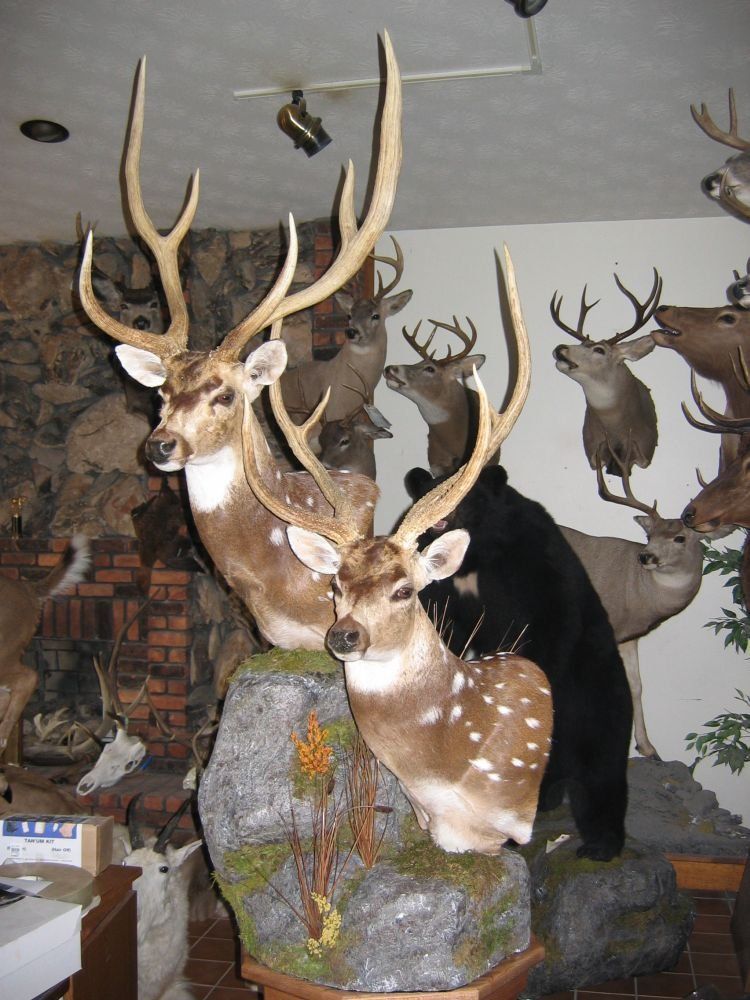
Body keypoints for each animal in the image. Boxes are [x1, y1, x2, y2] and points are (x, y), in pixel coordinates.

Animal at [560, 458, 706, 761]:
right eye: (649, 535)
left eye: (680, 538)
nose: (646, 556)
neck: (637, 590)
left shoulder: (628, 637)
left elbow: (636, 686)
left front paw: (647, 747)